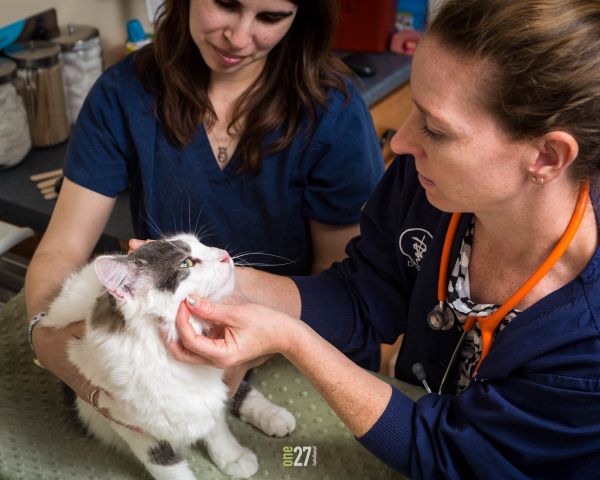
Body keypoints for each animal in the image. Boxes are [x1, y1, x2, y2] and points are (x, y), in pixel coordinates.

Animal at [39, 235, 296, 480]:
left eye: (202, 244)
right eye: (186, 263)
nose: (224, 254)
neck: (163, 354)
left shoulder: (205, 396)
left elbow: (218, 427)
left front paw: (233, 457)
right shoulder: (131, 424)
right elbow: (169, 469)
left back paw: (274, 416)